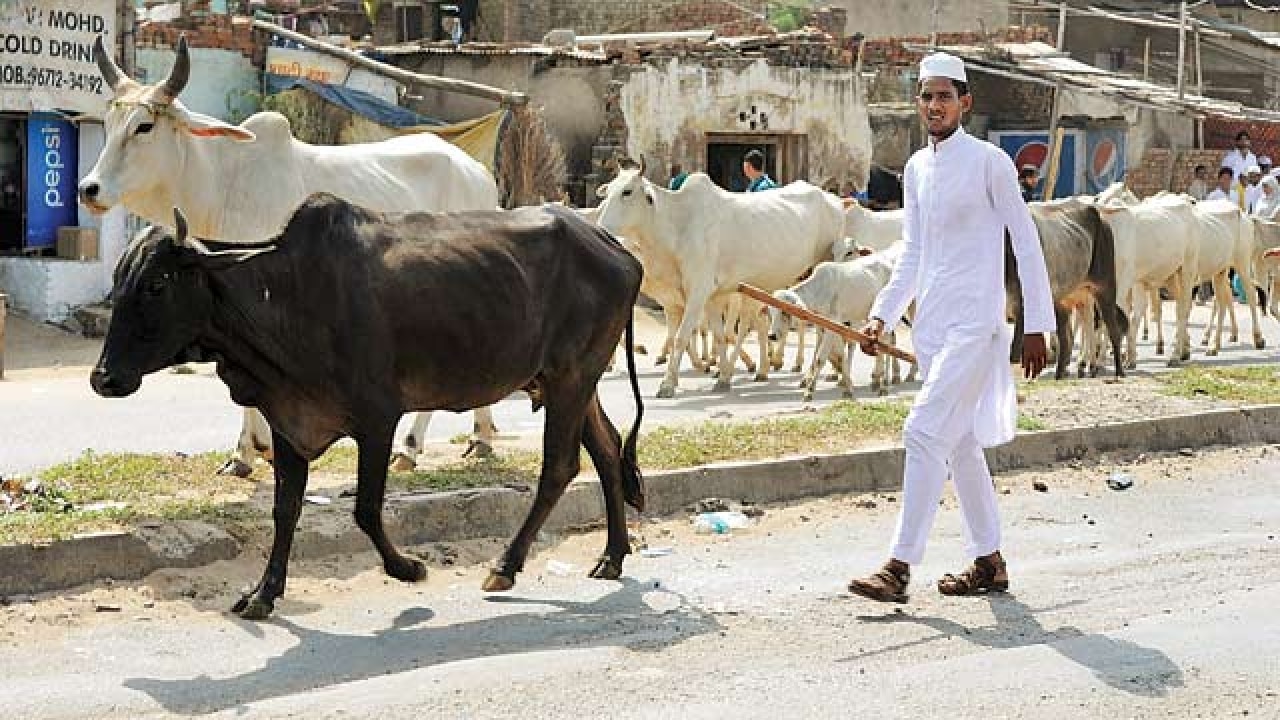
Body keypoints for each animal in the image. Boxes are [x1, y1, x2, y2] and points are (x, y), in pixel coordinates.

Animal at [79, 36, 501, 477]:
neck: (221, 185)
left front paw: (258, 448)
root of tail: (478, 172)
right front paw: (245, 453)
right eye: (108, 125)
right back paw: (479, 435)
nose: (88, 189)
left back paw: (415, 446)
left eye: (144, 126)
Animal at [90, 195, 645, 620]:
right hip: (569, 383)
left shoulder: (378, 420)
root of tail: (611, 242)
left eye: (157, 284)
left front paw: (408, 568)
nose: (103, 378)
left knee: (559, 467)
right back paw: (612, 556)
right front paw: (263, 593)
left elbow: (365, 510)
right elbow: (285, 511)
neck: (285, 297)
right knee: (607, 449)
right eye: (118, 284)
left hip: (571, 377)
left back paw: (505, 567)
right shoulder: (289, 424)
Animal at [596, 166, 846, 397]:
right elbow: (718, 336)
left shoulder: (698, 292)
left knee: (827, 325)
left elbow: (681, 337)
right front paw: (723, 377)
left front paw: (667, 384)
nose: (600, 228)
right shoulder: (706, 297)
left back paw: (826, 374)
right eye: (607, 191)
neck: (678, 227)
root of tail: (833, 198)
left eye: (627, 191)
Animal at [1005, 199, 1128, 379]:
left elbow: (1016, 348)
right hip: (1063, 299)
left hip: (1105, 288)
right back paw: (1060, 374)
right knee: (1067, 337)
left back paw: (1118, 371)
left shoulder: (1021, 304)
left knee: (1112, 329)